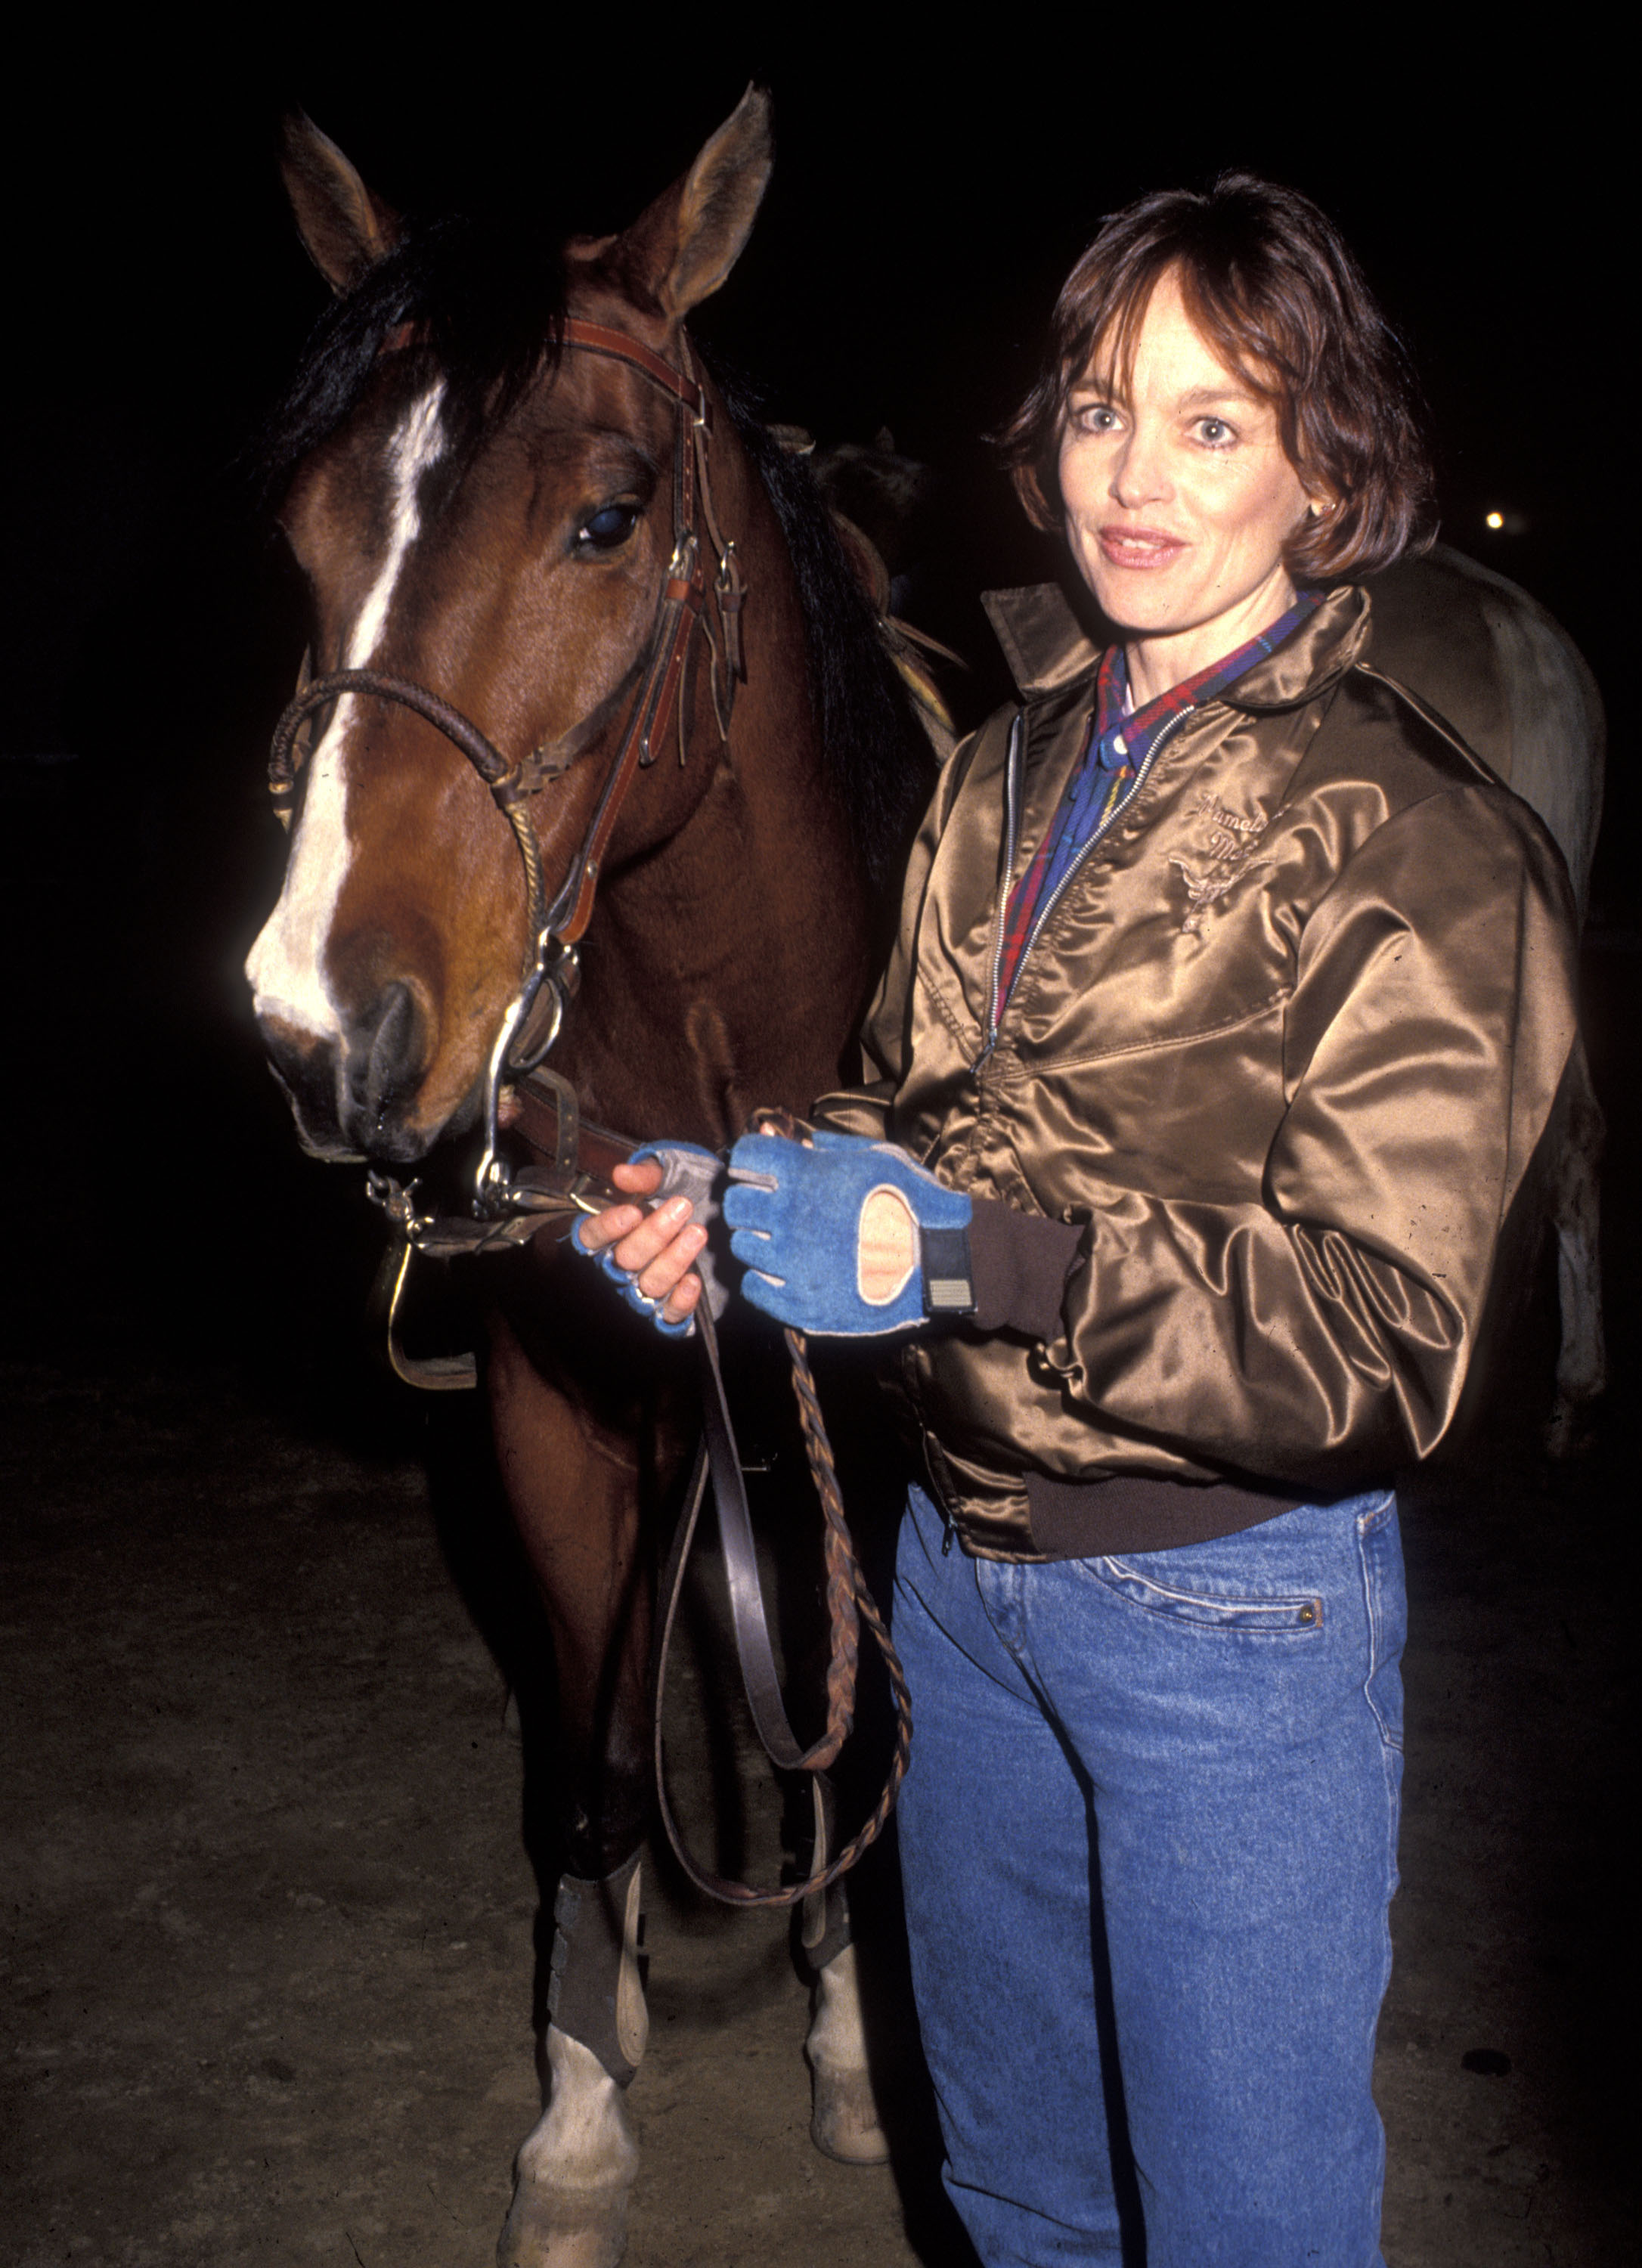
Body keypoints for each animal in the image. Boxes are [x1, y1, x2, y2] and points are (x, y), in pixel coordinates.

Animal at [245, 88, 934, 2268]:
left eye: (608, 520)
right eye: (304, 536)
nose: (323, 1027)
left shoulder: (855, 1447)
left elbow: (836, 1752)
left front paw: (838, 2042)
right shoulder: (553, 1421)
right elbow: (600, 1767)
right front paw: (575, 2098)